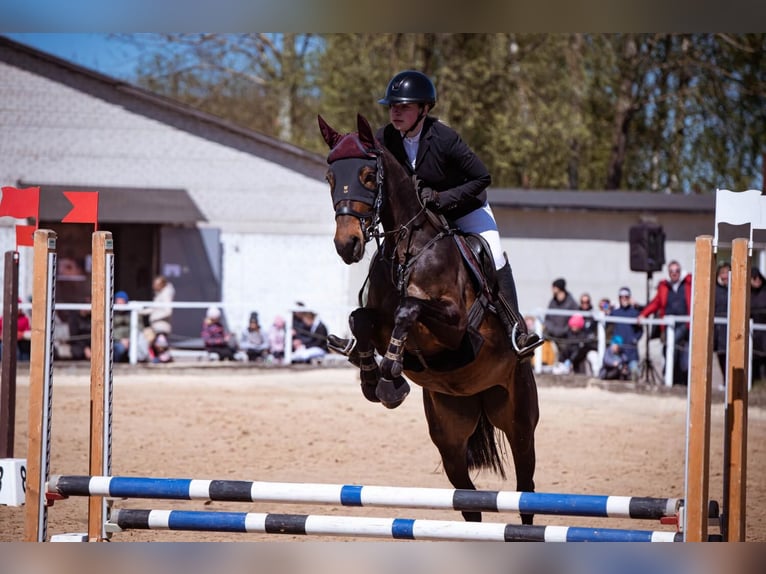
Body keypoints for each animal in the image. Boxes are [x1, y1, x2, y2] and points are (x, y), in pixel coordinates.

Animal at [318, 112, 540, 528]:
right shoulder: (379, 319)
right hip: (449, 434)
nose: (347, 244)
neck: (409, 248)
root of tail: (477, 396)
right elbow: (360, 319)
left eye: (368, 176)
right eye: (329, 177)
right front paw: (373, 379)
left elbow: (410, 308)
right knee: (468, 500)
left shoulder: (457, 329)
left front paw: (390, 375)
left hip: (518, 420)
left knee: (526, 490)